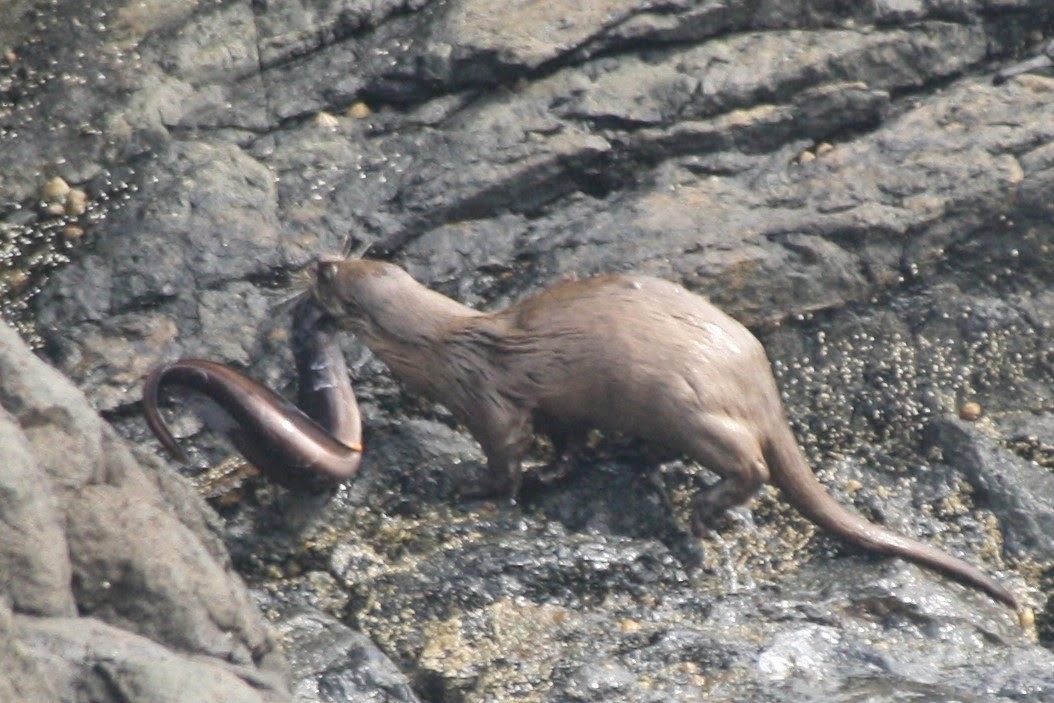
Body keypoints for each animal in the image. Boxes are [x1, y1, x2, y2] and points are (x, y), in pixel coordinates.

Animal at [309, 257, 1019, 611]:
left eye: (330, 274)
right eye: (351, 253)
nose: (316, 257)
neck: (446, 347)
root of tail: (760, 381)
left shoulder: (488, 399)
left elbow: (507, 452)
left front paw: (475, 489)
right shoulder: (560, 405)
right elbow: (566, 442)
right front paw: (554, 473)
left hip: (686, 404)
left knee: (752, 466)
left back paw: (703, 510)